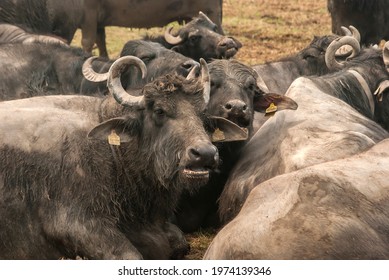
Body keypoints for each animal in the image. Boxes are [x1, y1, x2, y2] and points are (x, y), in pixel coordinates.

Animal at [0, 57, 244, 260]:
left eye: (202, 115)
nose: (205, 153)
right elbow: (130, 255)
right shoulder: (75, 222)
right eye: (159, 111)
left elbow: (179, 243)